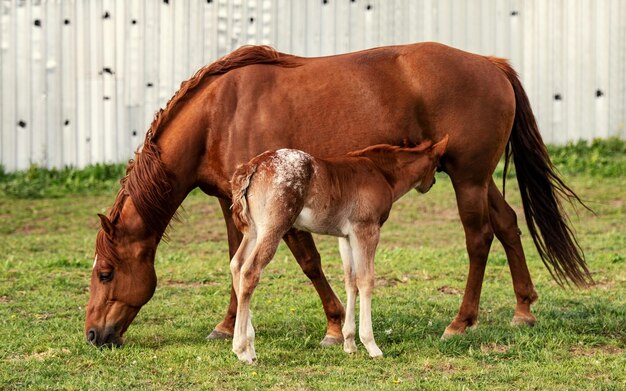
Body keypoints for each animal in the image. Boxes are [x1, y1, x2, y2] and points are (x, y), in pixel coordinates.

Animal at [227, 136, 446, 364]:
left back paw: (250, 346)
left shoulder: (346, 237)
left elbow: (351, 281)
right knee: (250, 270)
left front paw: (349, 343)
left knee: (237, 265)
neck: (381, 173)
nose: (431, 183)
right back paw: (241, 349)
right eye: (437, 164)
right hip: (274, 228)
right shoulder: (366, 230)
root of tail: (253, 165)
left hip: (253, 231)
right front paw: (371, 345)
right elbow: (366, 280)